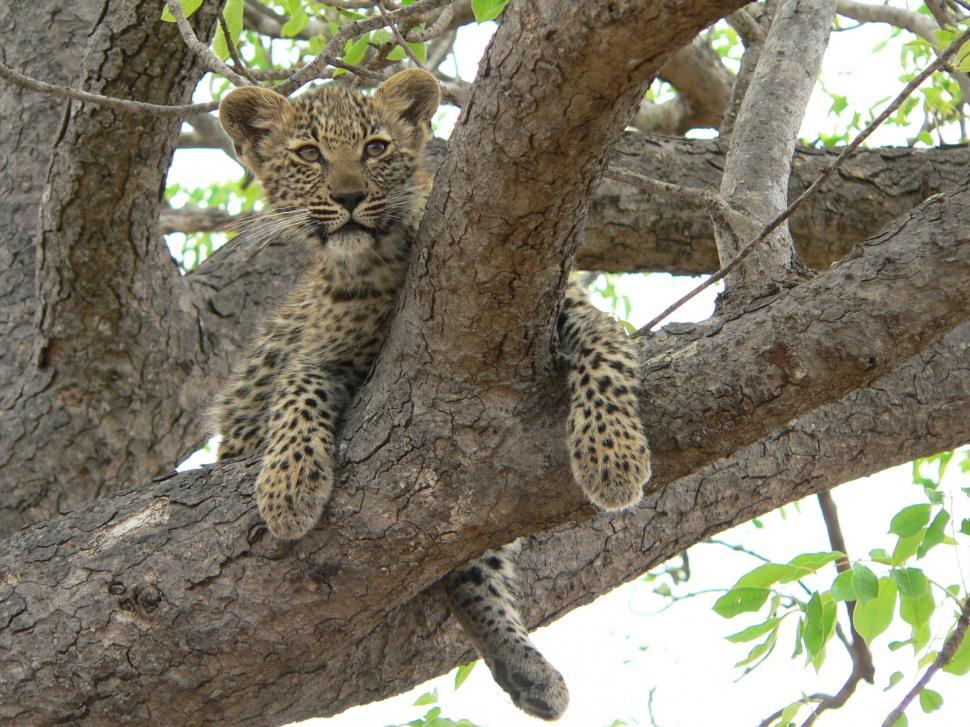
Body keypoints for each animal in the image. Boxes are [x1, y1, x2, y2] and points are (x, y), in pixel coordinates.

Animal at [213, 69, 651, 721]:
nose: (348, 197)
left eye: (375, 148)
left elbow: (607, 349)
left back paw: (528, 668)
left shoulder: (570, 311)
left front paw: (613, 459)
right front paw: (288, 488)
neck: (375, 260)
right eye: (309, 155)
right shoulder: (320, 353)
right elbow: (295, 396)